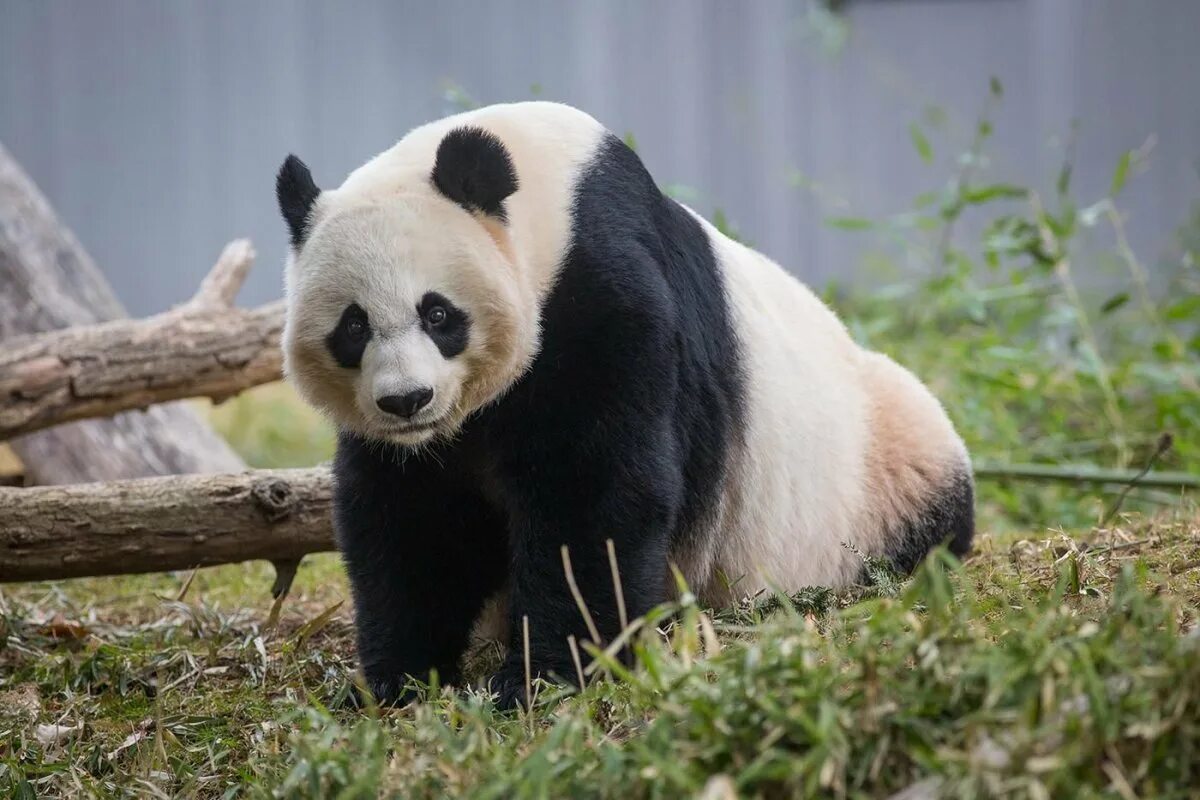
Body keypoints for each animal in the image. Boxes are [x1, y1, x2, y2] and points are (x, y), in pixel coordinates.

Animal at [274, 101, 974, 705]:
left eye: (439, 313)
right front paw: (399, 681)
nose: (407, 401)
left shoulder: (601, 292)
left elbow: (593, 492)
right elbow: (415, 520)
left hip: (874, 464)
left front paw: (544, 677)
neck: (549, 197)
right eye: (353, 327)